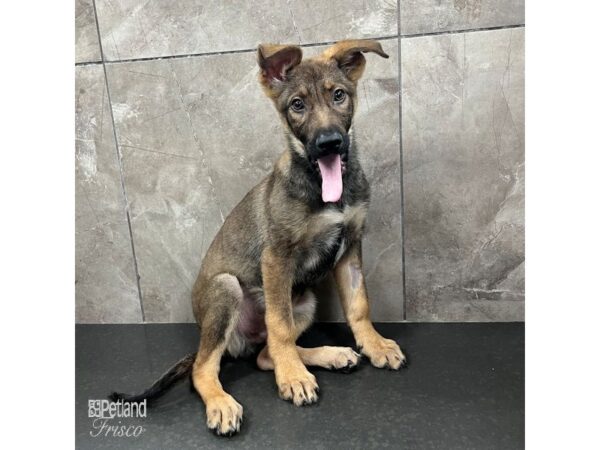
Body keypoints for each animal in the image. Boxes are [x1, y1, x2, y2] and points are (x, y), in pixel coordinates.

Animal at [110, 39, 406, 436]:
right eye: (297, 105)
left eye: (339, 95)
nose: (329, 143)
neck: (324, 187)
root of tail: (239, 341)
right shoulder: (277, 257)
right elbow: (279, 326)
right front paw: (293, 378)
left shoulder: (350, 247)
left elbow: (359, 305)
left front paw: (374, 346)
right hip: (227, 290)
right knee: (208, 367)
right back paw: (227, 401)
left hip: (305, 301)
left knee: (267, 355)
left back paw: (328, 356)